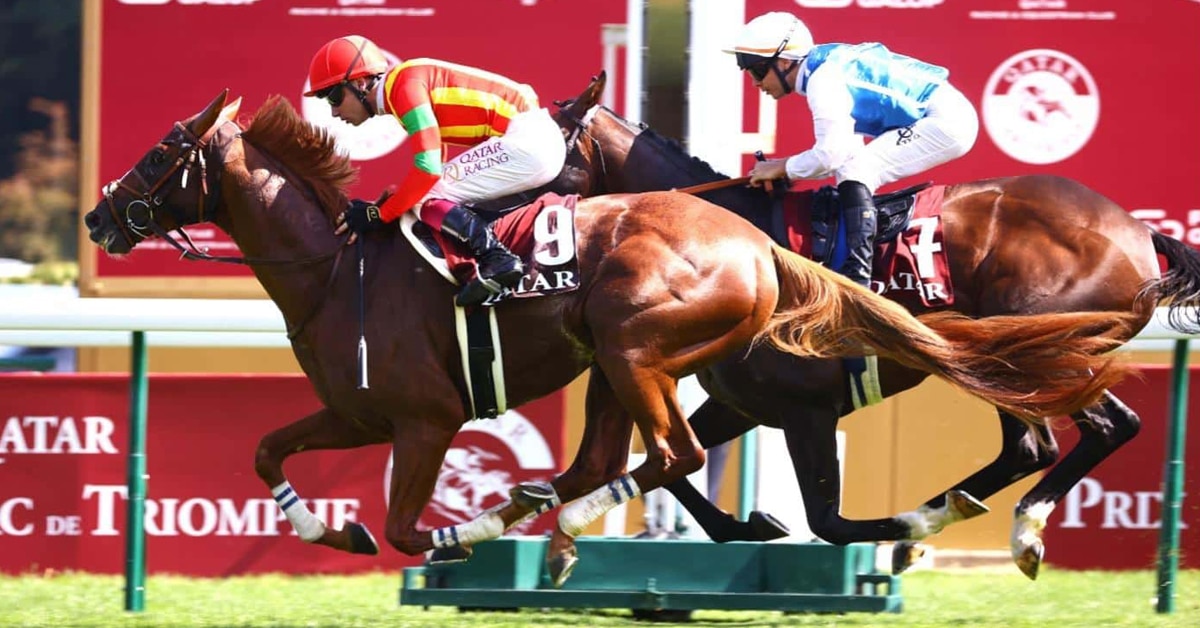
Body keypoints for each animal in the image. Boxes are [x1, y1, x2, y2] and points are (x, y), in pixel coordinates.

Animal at [83, 90, 1138, 587]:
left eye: (162, 150)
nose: (97, 217)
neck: (336, 269)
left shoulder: (425, 420)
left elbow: (410, 524)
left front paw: (469, 530)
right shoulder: (357, 412)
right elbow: (269, 451)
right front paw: (330, 526)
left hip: (633, 354)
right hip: (617, 360)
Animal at [550, 72, 1200, 579]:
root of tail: (1140, 233)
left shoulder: (805, 407)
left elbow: (826, 520)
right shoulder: (744, 403)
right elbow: (665, 468)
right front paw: (748, 524)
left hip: (1038, 353)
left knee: (1104, 428)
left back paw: (1008, 530)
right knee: (1032, 448)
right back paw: (948, 526)